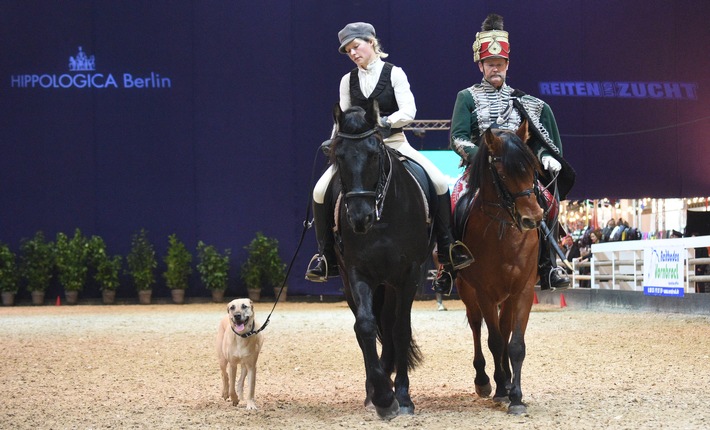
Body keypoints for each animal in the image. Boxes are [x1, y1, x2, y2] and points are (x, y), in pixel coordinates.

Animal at [330, 99, 434, 418]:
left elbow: (400, 329)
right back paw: (374, 389)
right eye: (338, 156)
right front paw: (383, 397)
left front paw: (403, 396)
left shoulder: (409, 274)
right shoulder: (357, 272)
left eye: (374, 154)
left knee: (389, 324)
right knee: (369, 325)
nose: (359, 218)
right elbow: (364, 326)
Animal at [454, 121, 548, 416]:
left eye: (533, 170)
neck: (505, 232)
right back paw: (485, 381)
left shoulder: (524, 290)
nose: (533, 218)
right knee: (476, 326)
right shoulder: (484, 292)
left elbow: (515, 343)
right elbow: (494, 341)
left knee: (504, 328)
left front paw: (515, 395)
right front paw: (500, 389)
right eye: (504, 174)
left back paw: (505, 381)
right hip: (468, 291)